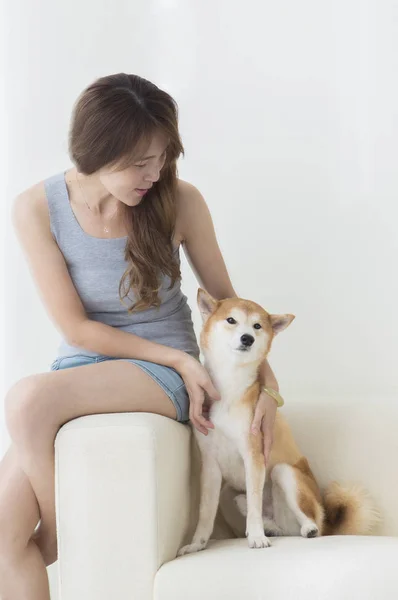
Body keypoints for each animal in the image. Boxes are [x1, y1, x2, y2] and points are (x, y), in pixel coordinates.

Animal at [177, 288, 380, 556]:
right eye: (231, 320)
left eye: (257, 326)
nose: (247, 338)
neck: (230, 388)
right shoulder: (210, 465)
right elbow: (205, 514)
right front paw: (197, 544)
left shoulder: (254, 455)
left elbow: (254, 506)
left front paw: (256, 537)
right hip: (230, 494)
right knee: (258, 512)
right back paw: (272, 528)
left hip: (284, 473)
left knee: (310, 522)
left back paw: (306, 529)